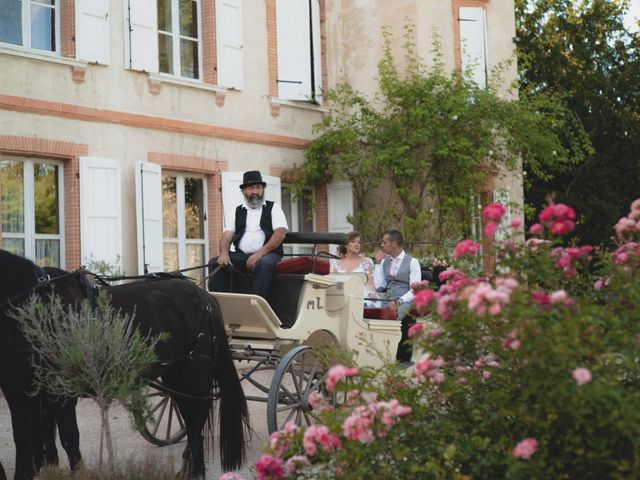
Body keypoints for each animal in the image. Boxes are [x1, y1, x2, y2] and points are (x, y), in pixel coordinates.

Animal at [0, 251, 249, 480]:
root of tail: (203, 295)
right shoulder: (18, 391)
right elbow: (25, 436)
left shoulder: (60, 392)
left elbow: (68, 437)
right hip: (175, 374)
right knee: (193, 415)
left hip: (192, 372)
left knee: (195, 418)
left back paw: (194, 471)